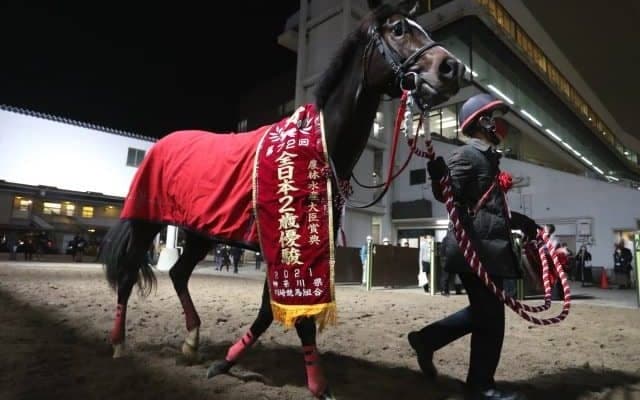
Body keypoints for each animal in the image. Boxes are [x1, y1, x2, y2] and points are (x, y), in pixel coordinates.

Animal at [100, 1, 463, 398]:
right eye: (399, 29)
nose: (452, 68)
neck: (315, 149)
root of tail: (158, 146)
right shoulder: (286, 244)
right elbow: (294, 317)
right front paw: (318, 385)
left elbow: (267, 311)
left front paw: (225, 362)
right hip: (147, 222)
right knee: (128, 275)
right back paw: (119, 344)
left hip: (201, 231)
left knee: (179, 274)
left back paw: (192, 342)